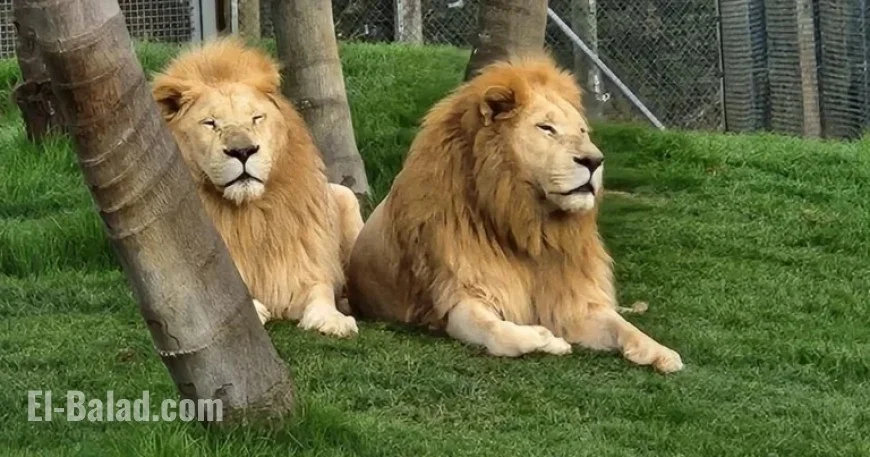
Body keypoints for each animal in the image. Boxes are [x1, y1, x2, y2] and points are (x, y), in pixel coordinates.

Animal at [151, 38, 363, 338]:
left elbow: (321, 291)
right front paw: (256, 309)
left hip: (346, 197)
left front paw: (333, 320)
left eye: (256, 118)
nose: (242, 151)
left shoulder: (305, 267)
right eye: (210, 123)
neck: (252, 215)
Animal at [347, 54, 683, 372]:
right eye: (546, 128)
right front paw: (549, 339)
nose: (594, 161)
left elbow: (620, 325)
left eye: (582, 131)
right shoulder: (461, 294)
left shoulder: (573, 300)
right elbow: (498, 331)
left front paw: (662, 352)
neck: (529, 225)